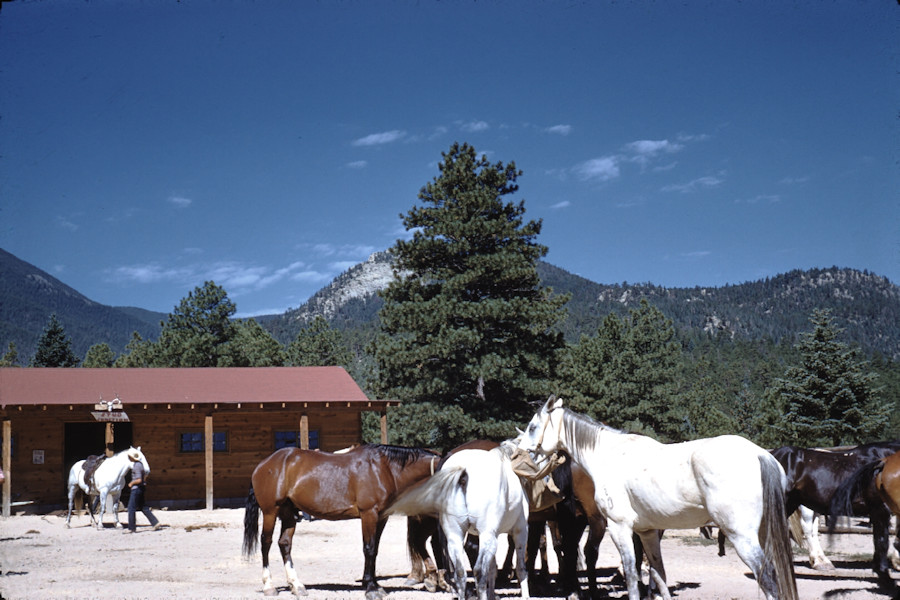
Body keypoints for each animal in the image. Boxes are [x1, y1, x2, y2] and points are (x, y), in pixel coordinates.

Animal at [244, 442, 442, 596]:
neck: (384, 469)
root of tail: (263, 465)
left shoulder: (381, 517)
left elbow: (375, 549)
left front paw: (374, 584)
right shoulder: (368, 514)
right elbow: (369, 548)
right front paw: (371, 588)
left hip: (289, 513)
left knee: (284, 544)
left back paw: (297, 586)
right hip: (270, 512)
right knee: (266, 543)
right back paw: (269, 586)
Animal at [384, 440, 528, 600]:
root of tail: (464, 471)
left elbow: (493, 568)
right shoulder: (520, 530)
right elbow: (520, 567)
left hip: (453, 535)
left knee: (458, 571)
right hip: (486, 535)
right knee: (479, 570)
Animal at [516, 396, 800, 600]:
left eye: (532, 427)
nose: (519, 454)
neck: (608, 455)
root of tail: (759, 454)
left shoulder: (620, 528)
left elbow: (632, 575)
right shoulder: (648, 532)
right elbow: (659, 575)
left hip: (741, 537)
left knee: (768, 579)